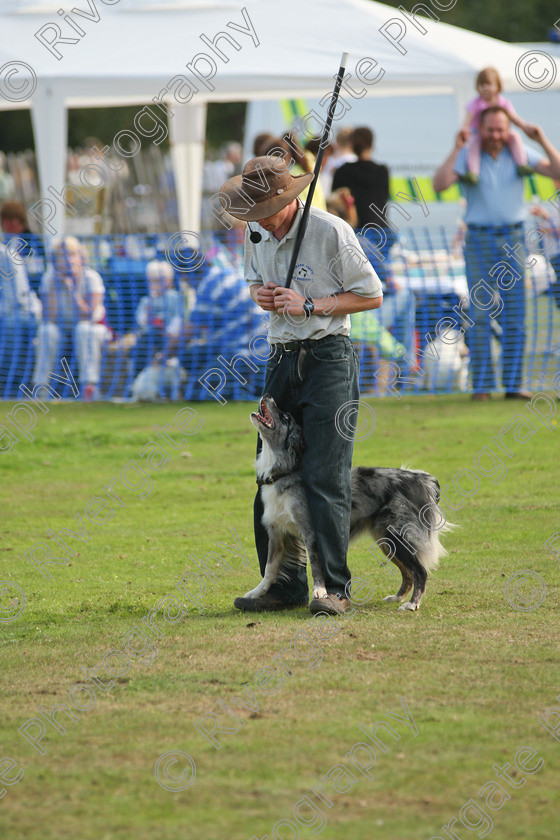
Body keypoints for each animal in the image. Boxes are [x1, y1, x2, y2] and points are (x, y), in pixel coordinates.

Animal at [244, 394, 450, 612]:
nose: (268, 395)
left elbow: (316, 565)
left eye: (284, 417)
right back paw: (397, 597)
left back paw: (412, 603)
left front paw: (320, 591)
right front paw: (257, 593)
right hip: (386, 541)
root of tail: (421, 479)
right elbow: (269, 569)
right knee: (407, 572)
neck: (284, 472)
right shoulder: (276, 533)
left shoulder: (311, 533)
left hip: (398, 536)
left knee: (420, 570)